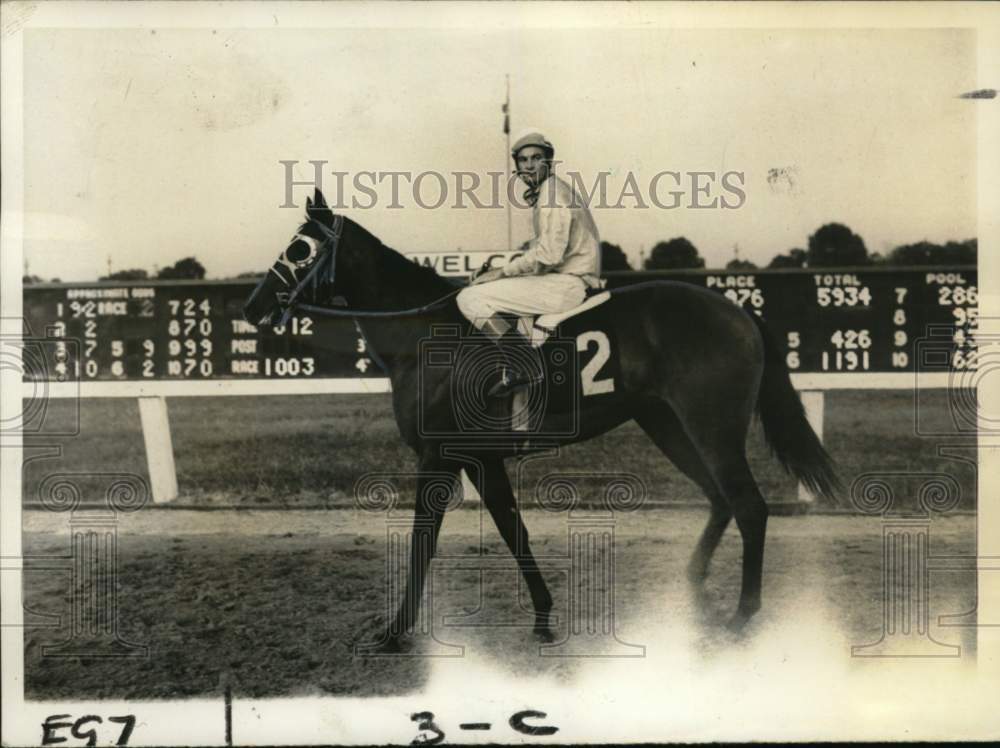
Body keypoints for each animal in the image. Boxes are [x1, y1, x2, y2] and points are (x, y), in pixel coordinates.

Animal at [246, 190, 840, 652]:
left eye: (300, 247)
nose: (252, 307)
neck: (425, 337)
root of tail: (740, 311)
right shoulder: (479, 459)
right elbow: (515, 533)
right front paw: (543, 618)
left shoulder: (438, 457)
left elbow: (422, 542)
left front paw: (394, 633)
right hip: (667, 424)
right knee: (720, 500)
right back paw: (693, 588)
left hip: (712, 427)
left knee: (749, 506)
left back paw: (742, 615)